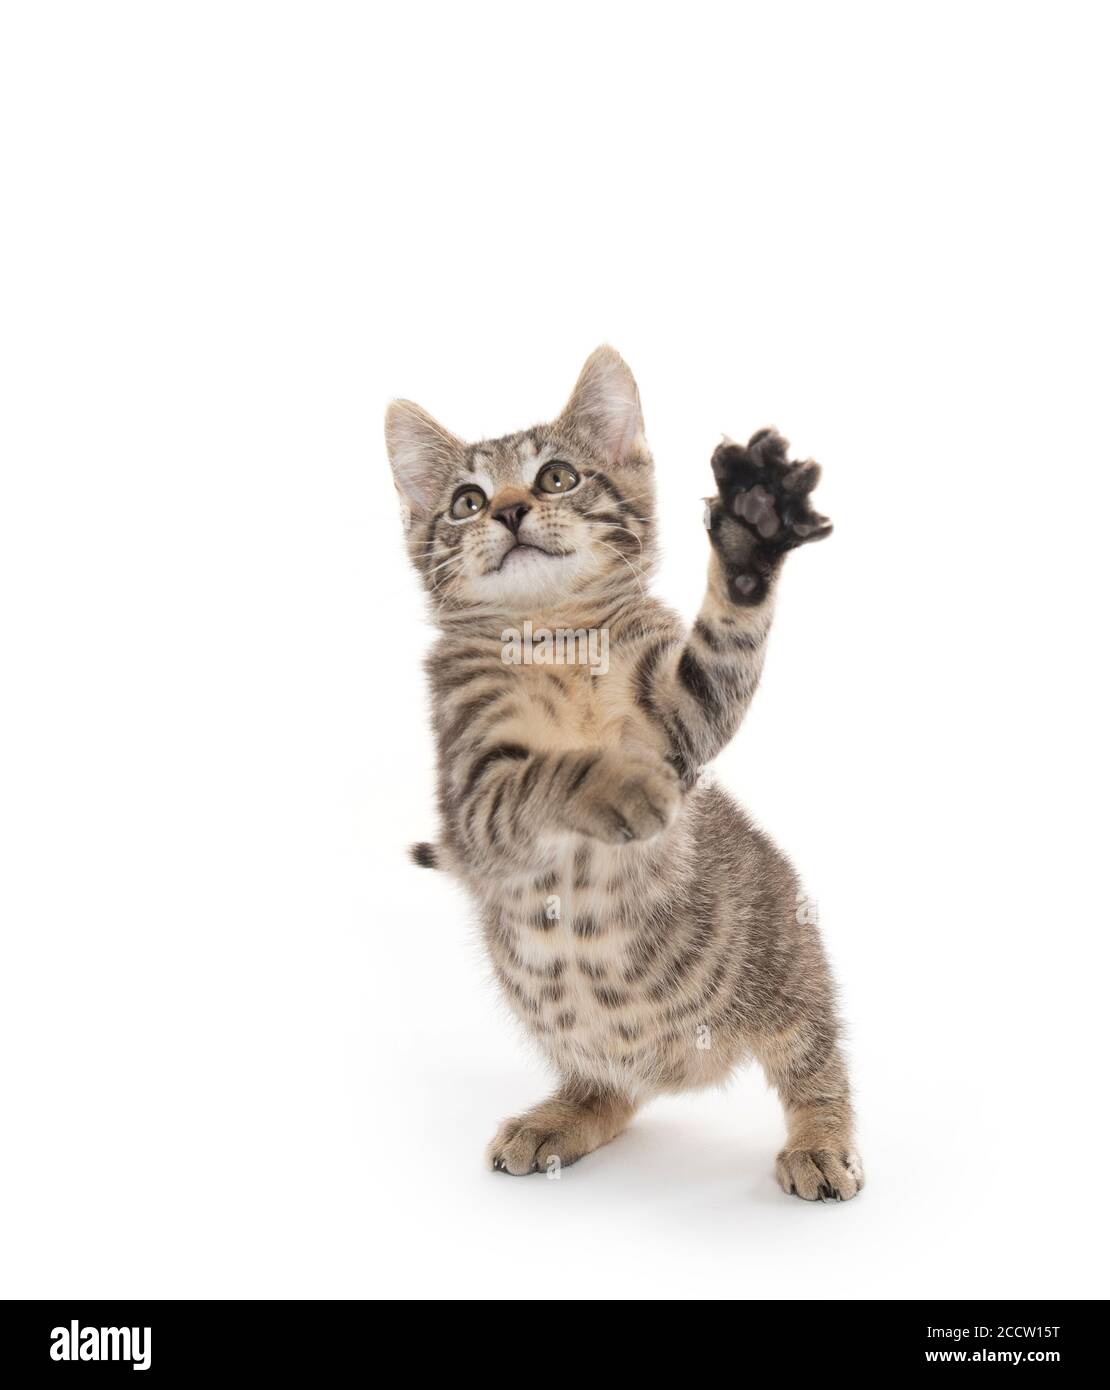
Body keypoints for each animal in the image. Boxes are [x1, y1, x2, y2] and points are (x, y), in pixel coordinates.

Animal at [386, 344, 861, 1195]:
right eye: (467, 501)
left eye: (556, 478)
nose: (508, 511)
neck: (550, 635)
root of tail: (686, 1065)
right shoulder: (470, 791)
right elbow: (542, 776)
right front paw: (618, 784)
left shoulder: (678, 716)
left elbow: (718, 657)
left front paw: (751, 532)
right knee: (612, 1086)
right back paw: (562, 1116)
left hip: (787, 964)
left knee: (814, 1055)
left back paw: (820, 1140)